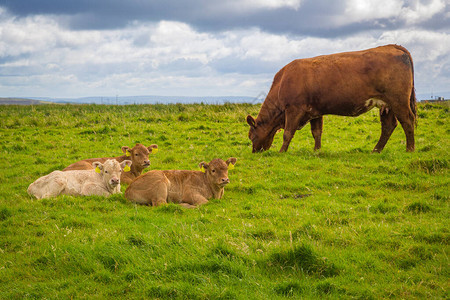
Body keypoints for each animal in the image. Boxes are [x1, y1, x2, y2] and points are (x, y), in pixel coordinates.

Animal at [248, 44, 416, 152]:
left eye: (251, 136)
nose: (255, 152)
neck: (282, 82)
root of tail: (392, 46)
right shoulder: (314, 111)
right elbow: (316, 132)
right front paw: (317, 150)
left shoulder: (294, 109)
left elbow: (287, 133)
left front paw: (282, 151)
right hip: (386, 105)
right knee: (389, 125)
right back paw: (376, 149)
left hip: (399, 101)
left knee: (408, 121)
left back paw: (410, 149)